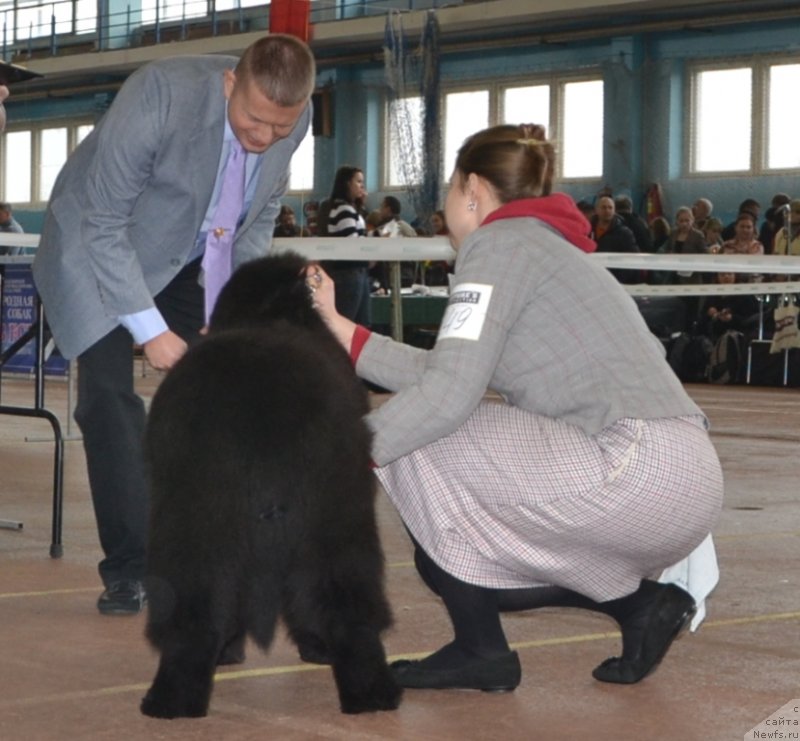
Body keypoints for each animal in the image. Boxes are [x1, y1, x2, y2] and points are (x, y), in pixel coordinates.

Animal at [139, 249, 400, 716]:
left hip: (194, 524)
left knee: (196, 613)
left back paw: (170, 701)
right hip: (335, 521)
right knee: (344, 608)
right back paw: (373, 695)